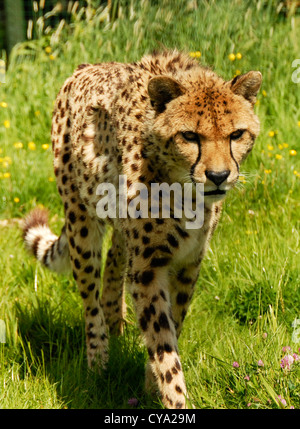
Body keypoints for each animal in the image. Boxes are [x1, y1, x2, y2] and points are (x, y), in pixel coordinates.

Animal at [22, 50, 262, 408]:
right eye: (190, 136)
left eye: (236, 134)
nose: (219, 176)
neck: (185, 191)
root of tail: (84, 67)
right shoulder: (148, 268)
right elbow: (164, 344)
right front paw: (175, 399)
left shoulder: (188, 263)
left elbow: (172, 325)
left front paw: (151, 382)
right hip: (81, 222)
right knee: (89, 296)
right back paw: (99, 360)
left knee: (113, 263)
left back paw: (116, 325)